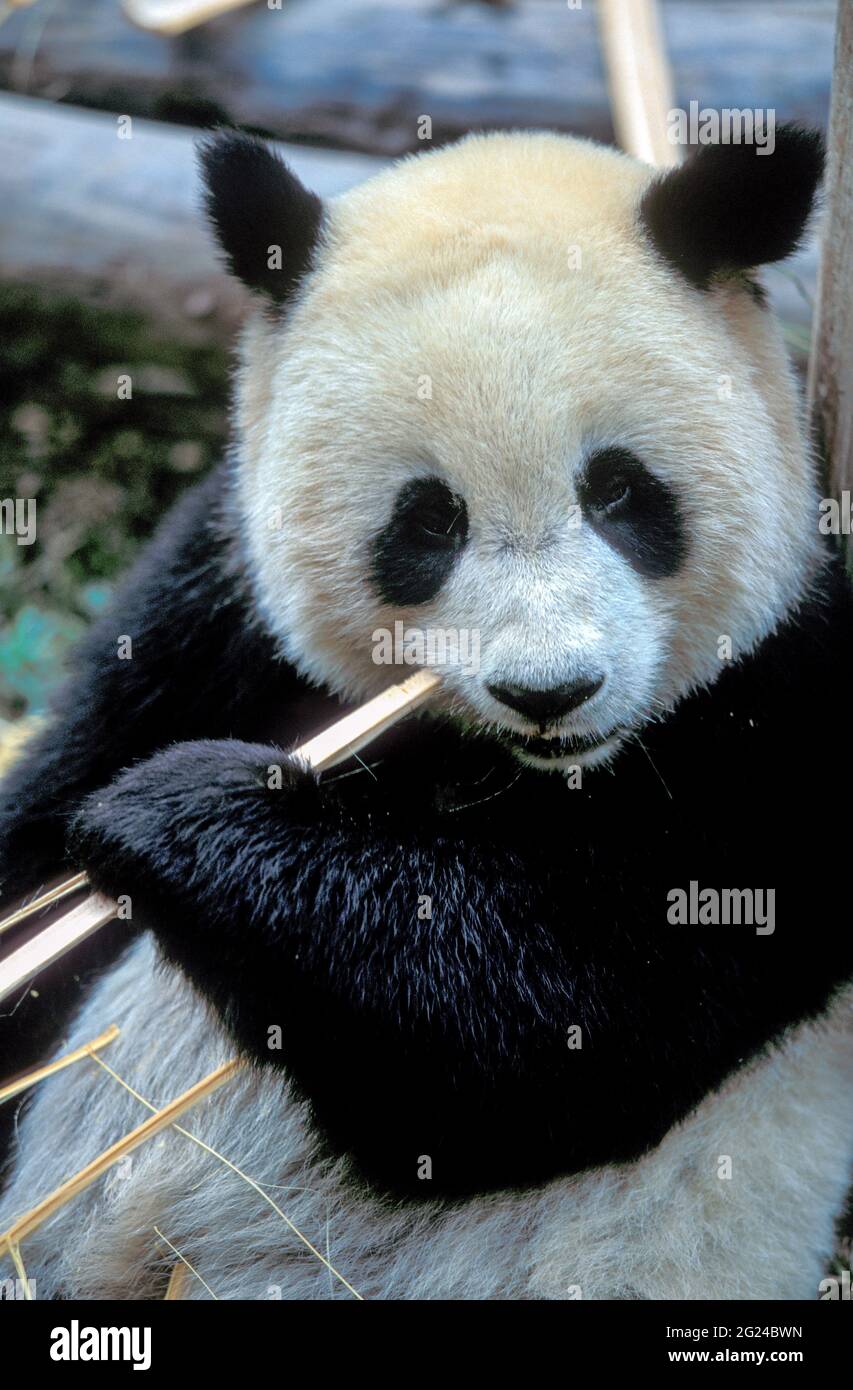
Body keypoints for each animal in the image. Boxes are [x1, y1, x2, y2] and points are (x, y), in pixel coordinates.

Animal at [1, 125, 853, 1295]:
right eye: (428, 520)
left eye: (619, 491)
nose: (551, 692)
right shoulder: (213, 602)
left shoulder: (784, 701)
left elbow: (544, 1025)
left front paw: (173, 805)